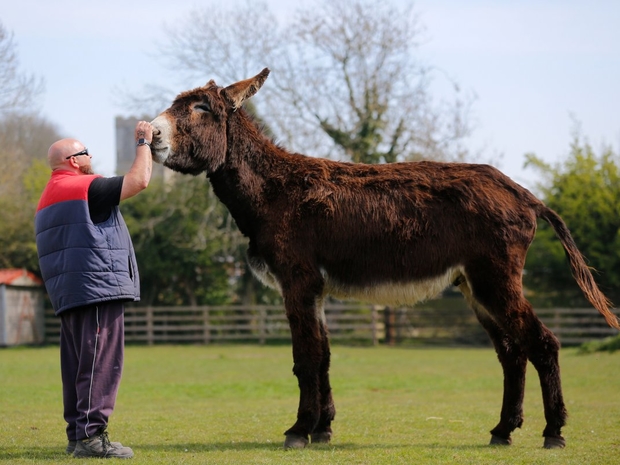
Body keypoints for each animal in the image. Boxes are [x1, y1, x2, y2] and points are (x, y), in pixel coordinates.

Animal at [149, 68, 619, 449]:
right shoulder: (316, 288)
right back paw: (503, 431)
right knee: (512, 352)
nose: (150, 134)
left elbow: (305, 357)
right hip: (476, 286)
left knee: (542, 343)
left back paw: (553, 433)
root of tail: (522, 192)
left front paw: (299, 431)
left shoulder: (297, 281)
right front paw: (323, 429)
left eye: (201, 108)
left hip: (495, 279)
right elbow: (323, 355)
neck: (274, 190)